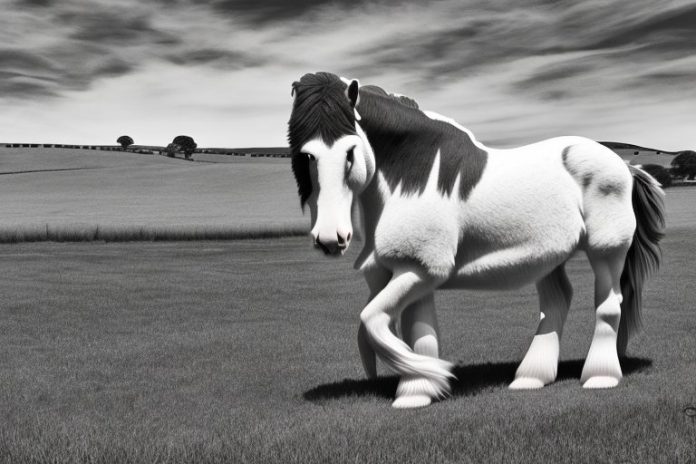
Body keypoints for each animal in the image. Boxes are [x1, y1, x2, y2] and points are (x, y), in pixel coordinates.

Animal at [287, 72, 665, 409]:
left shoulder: (421, 271)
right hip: (548, 256)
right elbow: (417, 332)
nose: (330, 239)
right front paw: (418, 392)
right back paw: (531, 378)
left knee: (608, 305)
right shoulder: (411, 273)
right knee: (556, 303)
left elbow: (373, 321)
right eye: (306, 155)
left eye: (350, 151)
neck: (411, 180)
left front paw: (433, 375)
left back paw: (600, 376)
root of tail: (625, 166)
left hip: (607, 251)